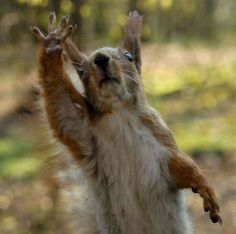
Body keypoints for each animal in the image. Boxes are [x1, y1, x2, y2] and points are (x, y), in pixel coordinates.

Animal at [30, 10, 221, 234]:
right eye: (82, 70)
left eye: (129, 57)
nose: (100, 58)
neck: (121, 115)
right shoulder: (82, 133)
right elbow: (61, 105)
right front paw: (52, 44)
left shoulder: (161, 136)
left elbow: (183, 166)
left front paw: (206, 190)